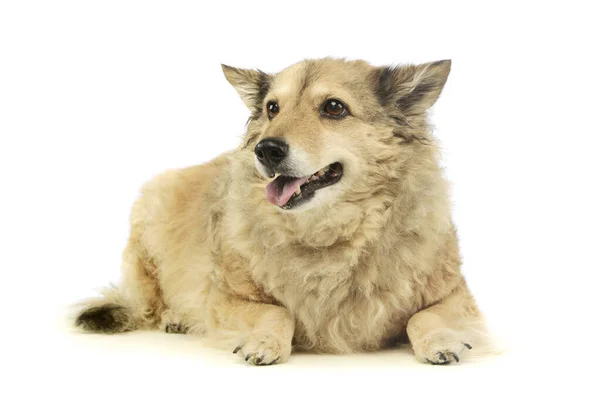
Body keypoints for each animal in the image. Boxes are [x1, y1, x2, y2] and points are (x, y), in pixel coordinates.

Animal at [74, 57, 488, 366]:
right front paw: (264, 342)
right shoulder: (228, 298)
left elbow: (423, 315)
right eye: (272, 108)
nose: (266, 149)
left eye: (334, 107)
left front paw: (442, 340)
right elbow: (278, 312)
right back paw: (175, 317)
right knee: (151, 303)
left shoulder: (456, 294)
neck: (328, 232)